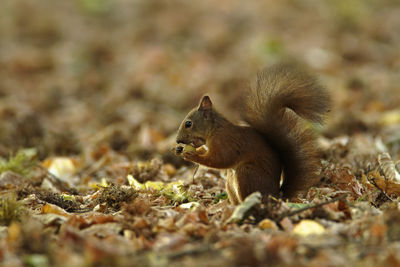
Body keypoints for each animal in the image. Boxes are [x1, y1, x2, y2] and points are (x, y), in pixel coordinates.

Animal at [174, 63, 328, 205]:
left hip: (246, 176)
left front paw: (191, 155)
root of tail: (276, 197)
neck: (215, 130)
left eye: (188, 124)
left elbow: (220, 160)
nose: (177, 140)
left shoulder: (226, 142)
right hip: (231, 182)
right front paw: (180, 150)